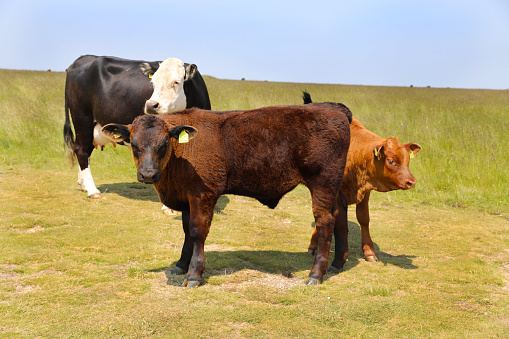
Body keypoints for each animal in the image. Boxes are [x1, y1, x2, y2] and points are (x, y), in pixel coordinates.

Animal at [63, 54, 210, 201]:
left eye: (176, 82)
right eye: (153, 83)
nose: (151, 105)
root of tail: (84, 58)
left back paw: (83, 184)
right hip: (82, 118)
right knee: (82, 150)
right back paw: (92, 190)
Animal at [101, 103, 352, 286]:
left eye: (164, 144)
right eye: (134, 144)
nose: (148, 174)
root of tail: (334, 108)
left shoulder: (203, 194)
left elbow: (197, 232)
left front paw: (194, 274)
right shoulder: (186, 198)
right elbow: (186, 231)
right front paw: (181, 264)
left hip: (322, 183)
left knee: (325, 221)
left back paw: (316, 274)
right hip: (334, 188)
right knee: (340, 215)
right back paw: (337, 263)